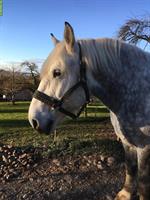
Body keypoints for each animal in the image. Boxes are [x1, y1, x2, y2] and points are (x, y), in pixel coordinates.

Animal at [28, 21, 150, 200]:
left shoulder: (145, 147)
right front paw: (125, 193)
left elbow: (143, 185)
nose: (34, 120)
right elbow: (130, 169)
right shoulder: (127, 143)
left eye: (57, 72)